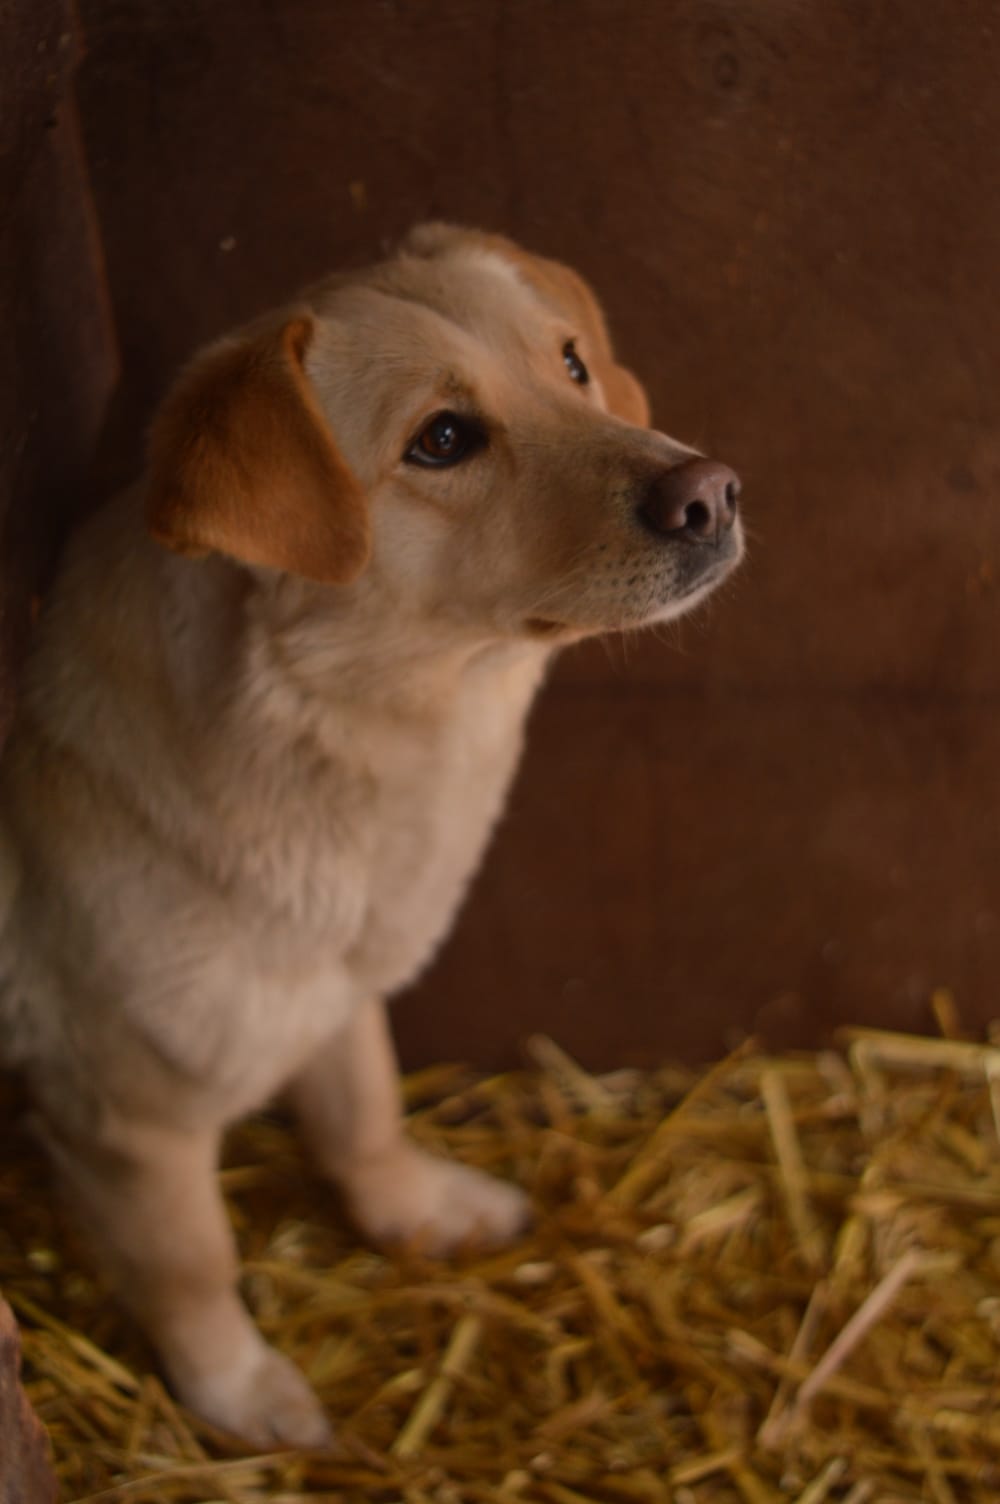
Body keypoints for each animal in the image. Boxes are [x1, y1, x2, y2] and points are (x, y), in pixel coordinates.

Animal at [0, 225, 739, 1443]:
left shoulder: (335, 988)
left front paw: (413, 1207)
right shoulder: (125, 1118)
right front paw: (240, 1393)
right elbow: (191, 1265)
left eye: (571, 363)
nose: (711, 494)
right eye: (441, 439)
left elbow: (363, 1111)